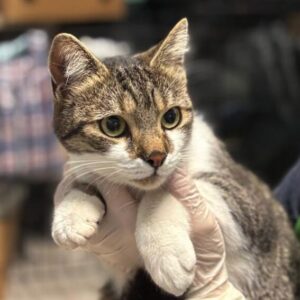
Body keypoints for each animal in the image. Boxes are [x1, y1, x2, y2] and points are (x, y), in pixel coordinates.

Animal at [49, 19, 300, 300]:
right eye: (113, 125)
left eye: (171, 117)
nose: (157, 156)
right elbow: (83, 178)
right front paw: (71, 211)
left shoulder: (249, 201)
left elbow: (169, 191)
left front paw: (166, 252)